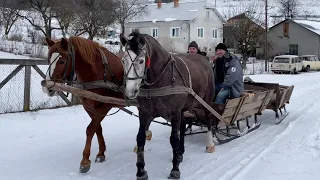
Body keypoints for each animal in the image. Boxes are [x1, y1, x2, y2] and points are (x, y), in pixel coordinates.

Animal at [42, 36, 152, 173]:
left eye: (61, 61)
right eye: (48, 59)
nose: (47, 88)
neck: (97, 72)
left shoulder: (106, 105)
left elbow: (90, 129)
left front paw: (85, 160)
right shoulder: (89, 106)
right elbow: (97, 128)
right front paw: (101, 153)